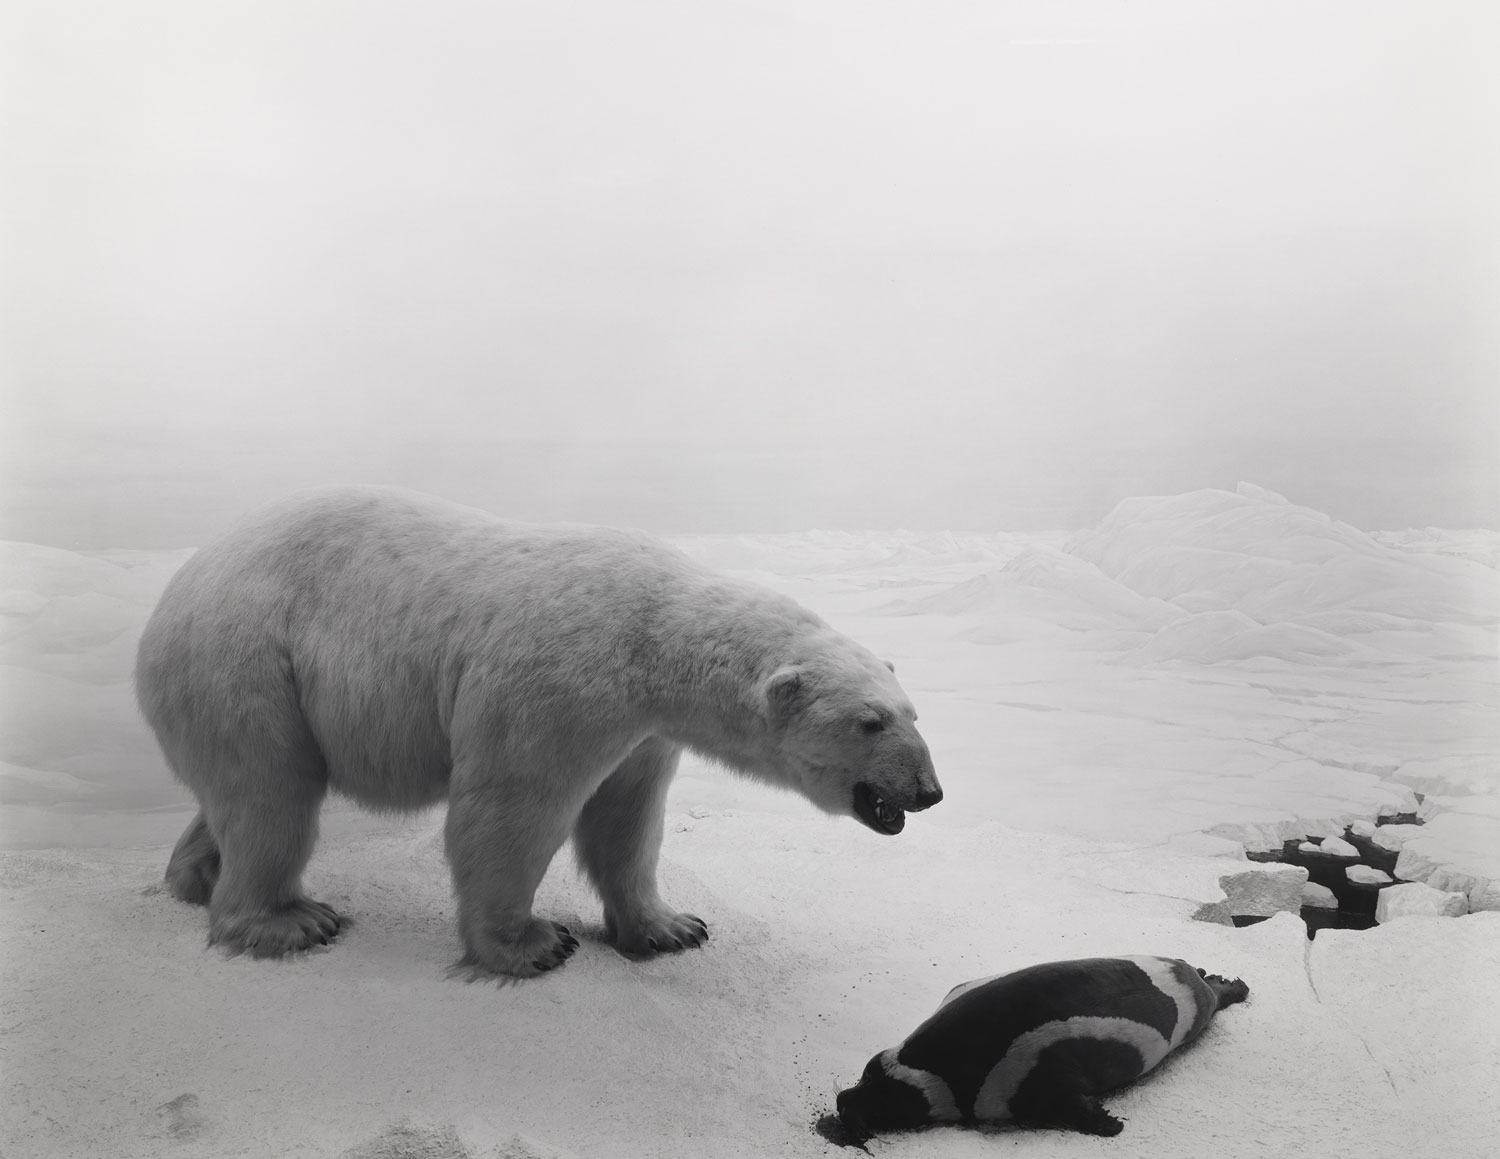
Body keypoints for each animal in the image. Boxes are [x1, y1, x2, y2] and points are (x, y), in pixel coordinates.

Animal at [138, 482, 936, 971]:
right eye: (870, 722)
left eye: (913, 711)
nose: (928, 791)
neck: (656, 635)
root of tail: (173, 592)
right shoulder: (561, 679)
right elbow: (512, 806)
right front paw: (531, 944)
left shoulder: (644, 731)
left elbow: (628, 819)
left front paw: (672, 926)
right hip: (247, 661)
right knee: (272, 793)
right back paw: (287, 919)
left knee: (242, 792)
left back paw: (193, 876)